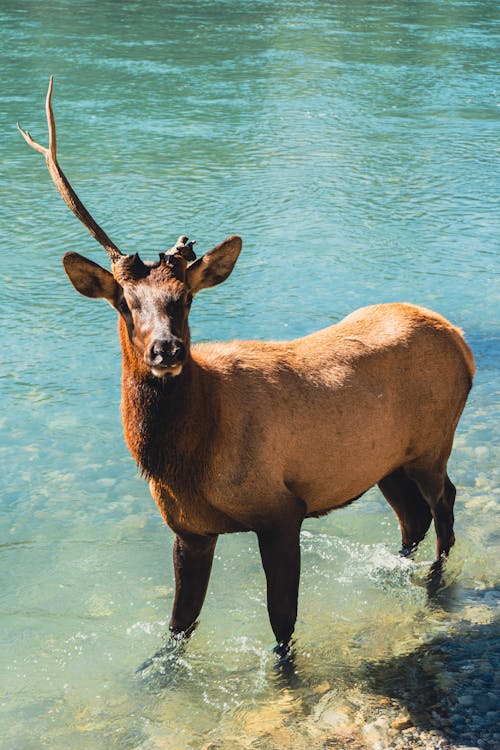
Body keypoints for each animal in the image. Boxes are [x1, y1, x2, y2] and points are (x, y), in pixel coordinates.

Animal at [17, 78, 474, 656]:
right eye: (124, 302)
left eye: (186, 297)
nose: (167, 350)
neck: (187, 459)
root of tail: (462, 341)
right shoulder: (189, 529)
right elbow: (178, 627)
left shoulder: (281, 510)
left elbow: (282, 624)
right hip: (386, 460)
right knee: (412, 519)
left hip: (434, 442)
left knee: (445, 507)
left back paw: (434, 584)